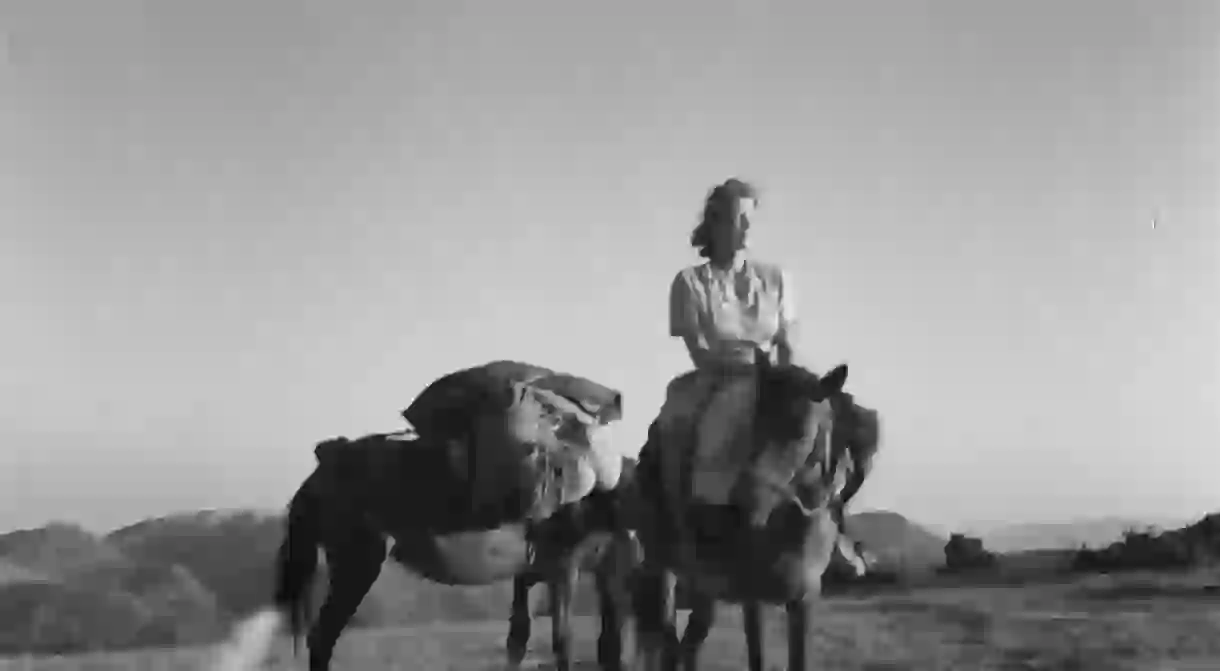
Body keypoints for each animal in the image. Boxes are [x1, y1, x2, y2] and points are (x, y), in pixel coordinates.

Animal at [207, 431, 649, 671]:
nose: (639, 548)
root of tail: (324, 467)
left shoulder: (557, 571)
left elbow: (529, 638)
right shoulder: (564, 567)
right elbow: (563, 639)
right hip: (357, 563)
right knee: (322, 637)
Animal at [629, 358, 878, 671]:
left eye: (801, 432)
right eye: (752, 425)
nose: (741, 508)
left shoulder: (804, 599)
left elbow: (797, 659)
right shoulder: (751, 594)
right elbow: (756, 657)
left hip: (703, 588)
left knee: (687, 645)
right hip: (664, 572)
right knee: (668, 643)